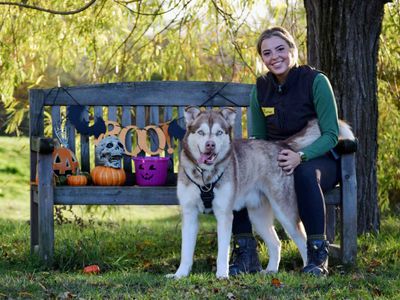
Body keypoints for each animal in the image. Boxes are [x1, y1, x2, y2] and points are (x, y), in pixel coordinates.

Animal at [167, 106, 354, 278]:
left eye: (219, 133)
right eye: (201, 132)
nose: (210, 145)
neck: (205, 177)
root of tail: (281, 145)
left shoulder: (224, 214)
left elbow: (222, 253)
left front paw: (222, 275)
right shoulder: (189, 213)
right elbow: (185, 251)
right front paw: (180, 274)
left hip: (285, 213)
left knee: (302, 239)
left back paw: (311, 269)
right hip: (258, 217)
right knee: (276, 243)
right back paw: (271, 270)